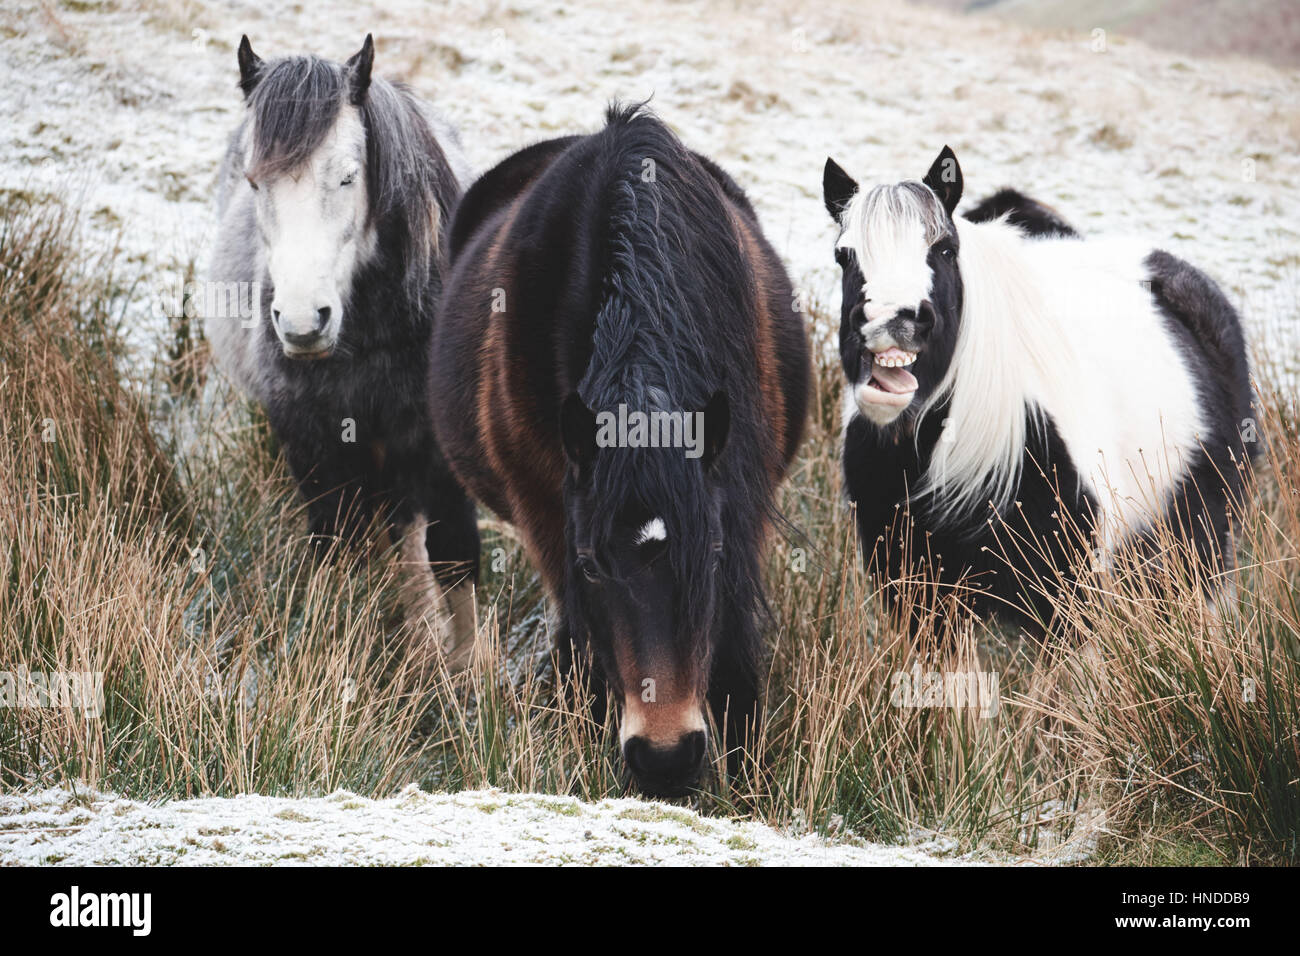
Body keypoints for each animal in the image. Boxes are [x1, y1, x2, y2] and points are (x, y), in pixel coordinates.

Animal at [204, 35, 480, 664]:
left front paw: (469, 674)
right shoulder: (313, 446)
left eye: (349, 177)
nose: (303, 323)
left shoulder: (436, 449)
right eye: (255, 184)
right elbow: (337, 550)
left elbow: (457, 559)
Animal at [432, 104, 810, 797]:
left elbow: (735, 657)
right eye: (591, 565)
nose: (665, 758)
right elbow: (584, 651)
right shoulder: (550, 516)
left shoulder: (741, 504)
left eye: (712, 554)